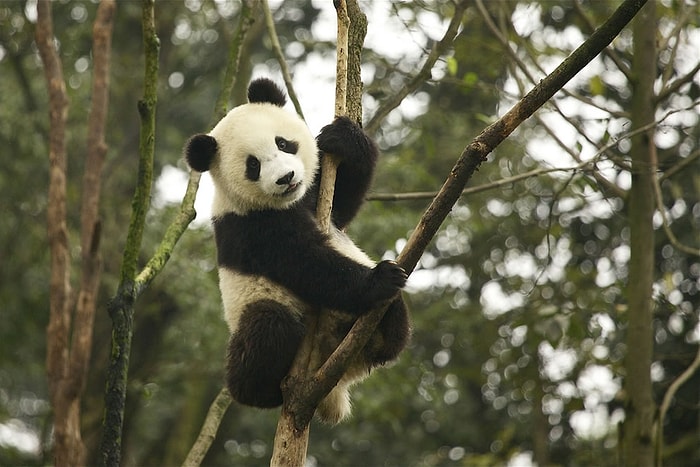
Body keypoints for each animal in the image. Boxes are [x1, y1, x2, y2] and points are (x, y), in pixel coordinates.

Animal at [184, 77, 410, 424]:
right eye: (253, 165)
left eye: (283, 144)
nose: (286, 178)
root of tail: (332, 381)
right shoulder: (251, 227)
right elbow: (306, 264)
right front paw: (379, 279)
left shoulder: (313, 196)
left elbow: (344, 203)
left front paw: (343, 139)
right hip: (258, 310)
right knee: (269, 325)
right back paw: (260, 391)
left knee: (396, 315)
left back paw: (383, 340)